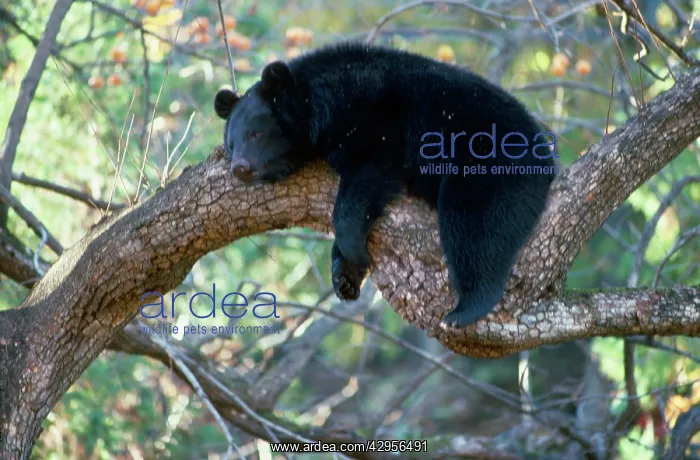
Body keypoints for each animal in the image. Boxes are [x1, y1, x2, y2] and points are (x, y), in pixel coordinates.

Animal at [214, 42, 556, 328]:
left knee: (476, 228)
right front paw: (345, 276)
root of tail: (544, 151)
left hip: (489, 161)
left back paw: (465, 309)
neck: (316, 101)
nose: (240, 169)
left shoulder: (372, 119)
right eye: (231, 143)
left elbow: (367, 174)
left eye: (255, 134)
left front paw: (352, 250)